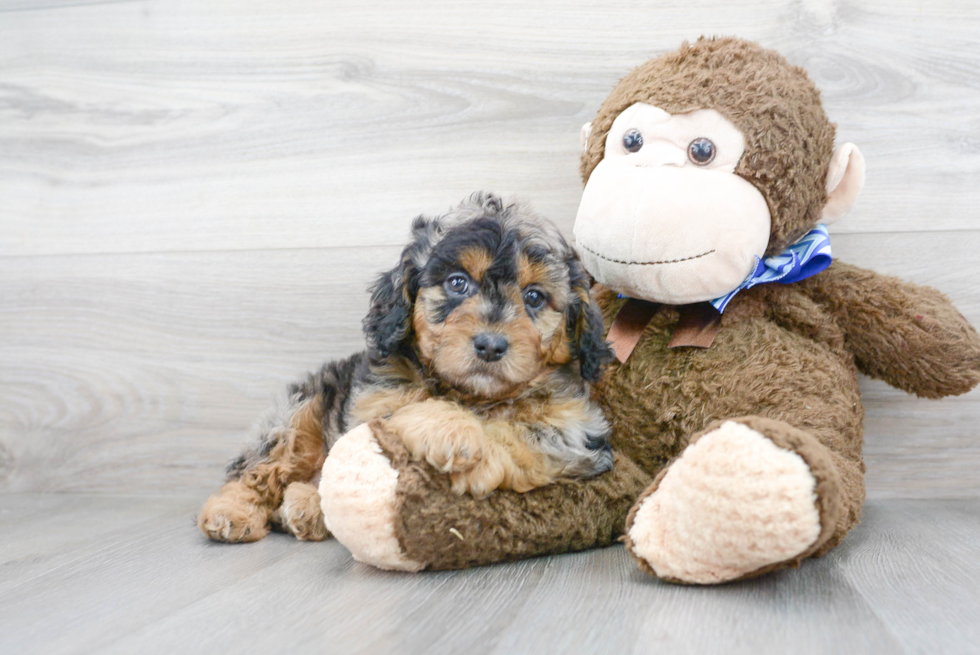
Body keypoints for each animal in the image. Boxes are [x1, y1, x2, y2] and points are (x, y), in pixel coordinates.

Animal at [198, 193, 612, 544]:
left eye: (534, 297)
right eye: (457, 283)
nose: (491, 345)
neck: (473, 395)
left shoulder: (577, 430)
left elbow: (522, 434)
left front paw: (468, 442)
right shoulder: (376, 402)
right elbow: (409, 411)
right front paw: (453, 429)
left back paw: (304, 505)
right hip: (297, 415)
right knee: (261, 467)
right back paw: (232, 513)